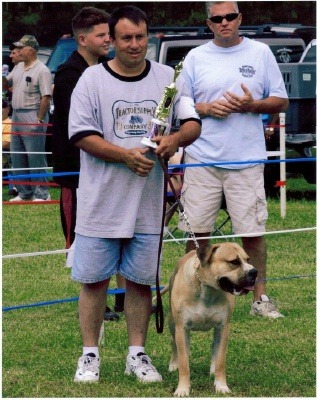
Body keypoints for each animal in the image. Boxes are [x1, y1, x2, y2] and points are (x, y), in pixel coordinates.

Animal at [165, 241, 256, 396]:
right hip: (172, 323)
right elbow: (184, 363)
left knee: (215, 347)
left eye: (248, 259)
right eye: (234, 262)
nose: (254, 272)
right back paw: (173, 364)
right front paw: (182, 389)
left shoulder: (223, 328)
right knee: (174, 342)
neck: (208, 290)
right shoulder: (181, 328)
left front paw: (221, 385)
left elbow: (220, 360)